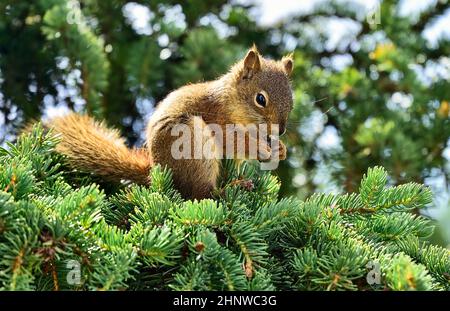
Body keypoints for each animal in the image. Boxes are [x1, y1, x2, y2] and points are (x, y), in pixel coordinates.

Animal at [44, 46, 294, 200]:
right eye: (260, 99)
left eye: (291, 101)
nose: (281, 130)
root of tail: (154, 170)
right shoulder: (215, 117)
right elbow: (231, 141)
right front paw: (261, 148)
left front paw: (280, 150)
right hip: (191, 145)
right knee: (199, 195)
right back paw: (230, 189)